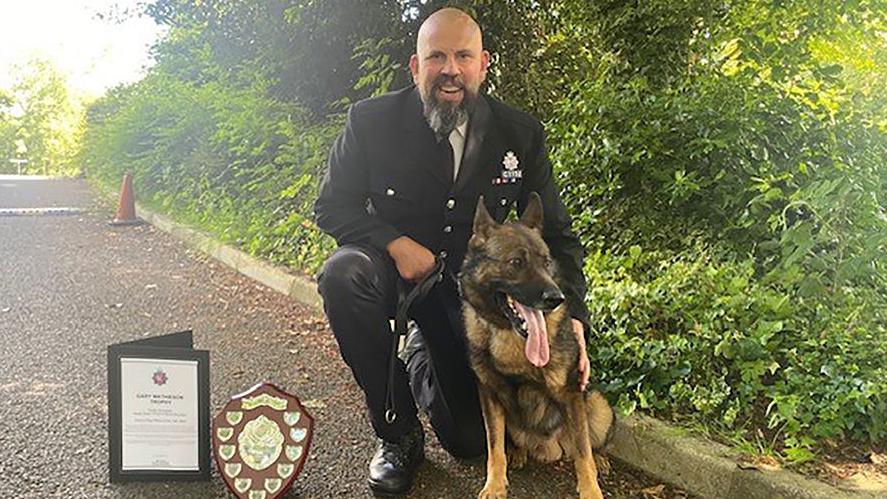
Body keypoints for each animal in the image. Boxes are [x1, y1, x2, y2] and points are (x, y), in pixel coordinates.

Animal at [458, 193, 616, 498]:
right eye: (516, 262)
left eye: (546, 261)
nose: (556, 298)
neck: (511, 335)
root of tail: (553, 448)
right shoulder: (489, 394)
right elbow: (494, 447)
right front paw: (495, 484)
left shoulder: (570, 394)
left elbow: (584, 454)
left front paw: (591, 491)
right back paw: (518, 452)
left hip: (598, 405)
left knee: (590, 444)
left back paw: (601, 458)